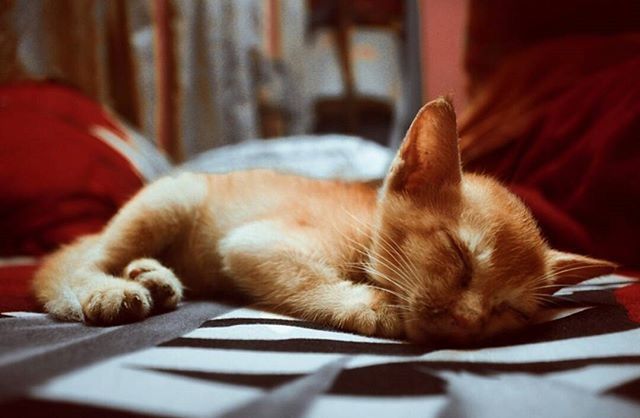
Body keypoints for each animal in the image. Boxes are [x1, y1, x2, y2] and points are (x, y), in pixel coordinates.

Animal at [31, 98, 616, 342]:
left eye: (509, 310)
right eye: (458, 256)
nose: (471, 323)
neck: (364, 232)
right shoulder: (253, 242)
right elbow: (307, 280)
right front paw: (374, 309)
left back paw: (153, 278)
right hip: (172, 197)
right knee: (70, 266)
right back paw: (104, 290)